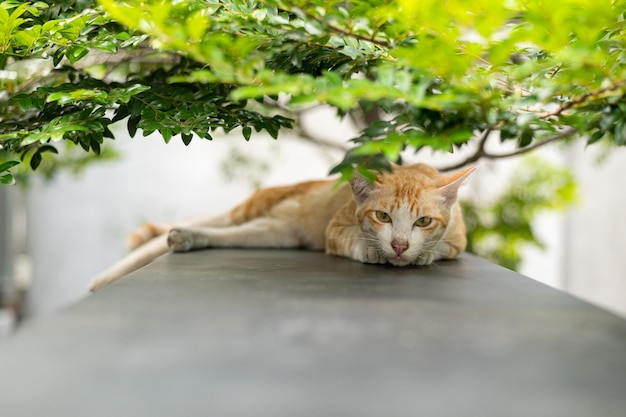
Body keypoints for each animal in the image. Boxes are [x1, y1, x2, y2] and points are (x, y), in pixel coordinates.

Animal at [86, 161, 468, 290]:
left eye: (422, 221)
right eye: (383, 217)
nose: (400, 245)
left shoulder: (458, 240)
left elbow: (442, 248)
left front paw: (421, 254)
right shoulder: (335, 229)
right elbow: (353, 241)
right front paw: (375, 251)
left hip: (274, 233)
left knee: (222, 234)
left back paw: (187, 238)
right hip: (253, 212)